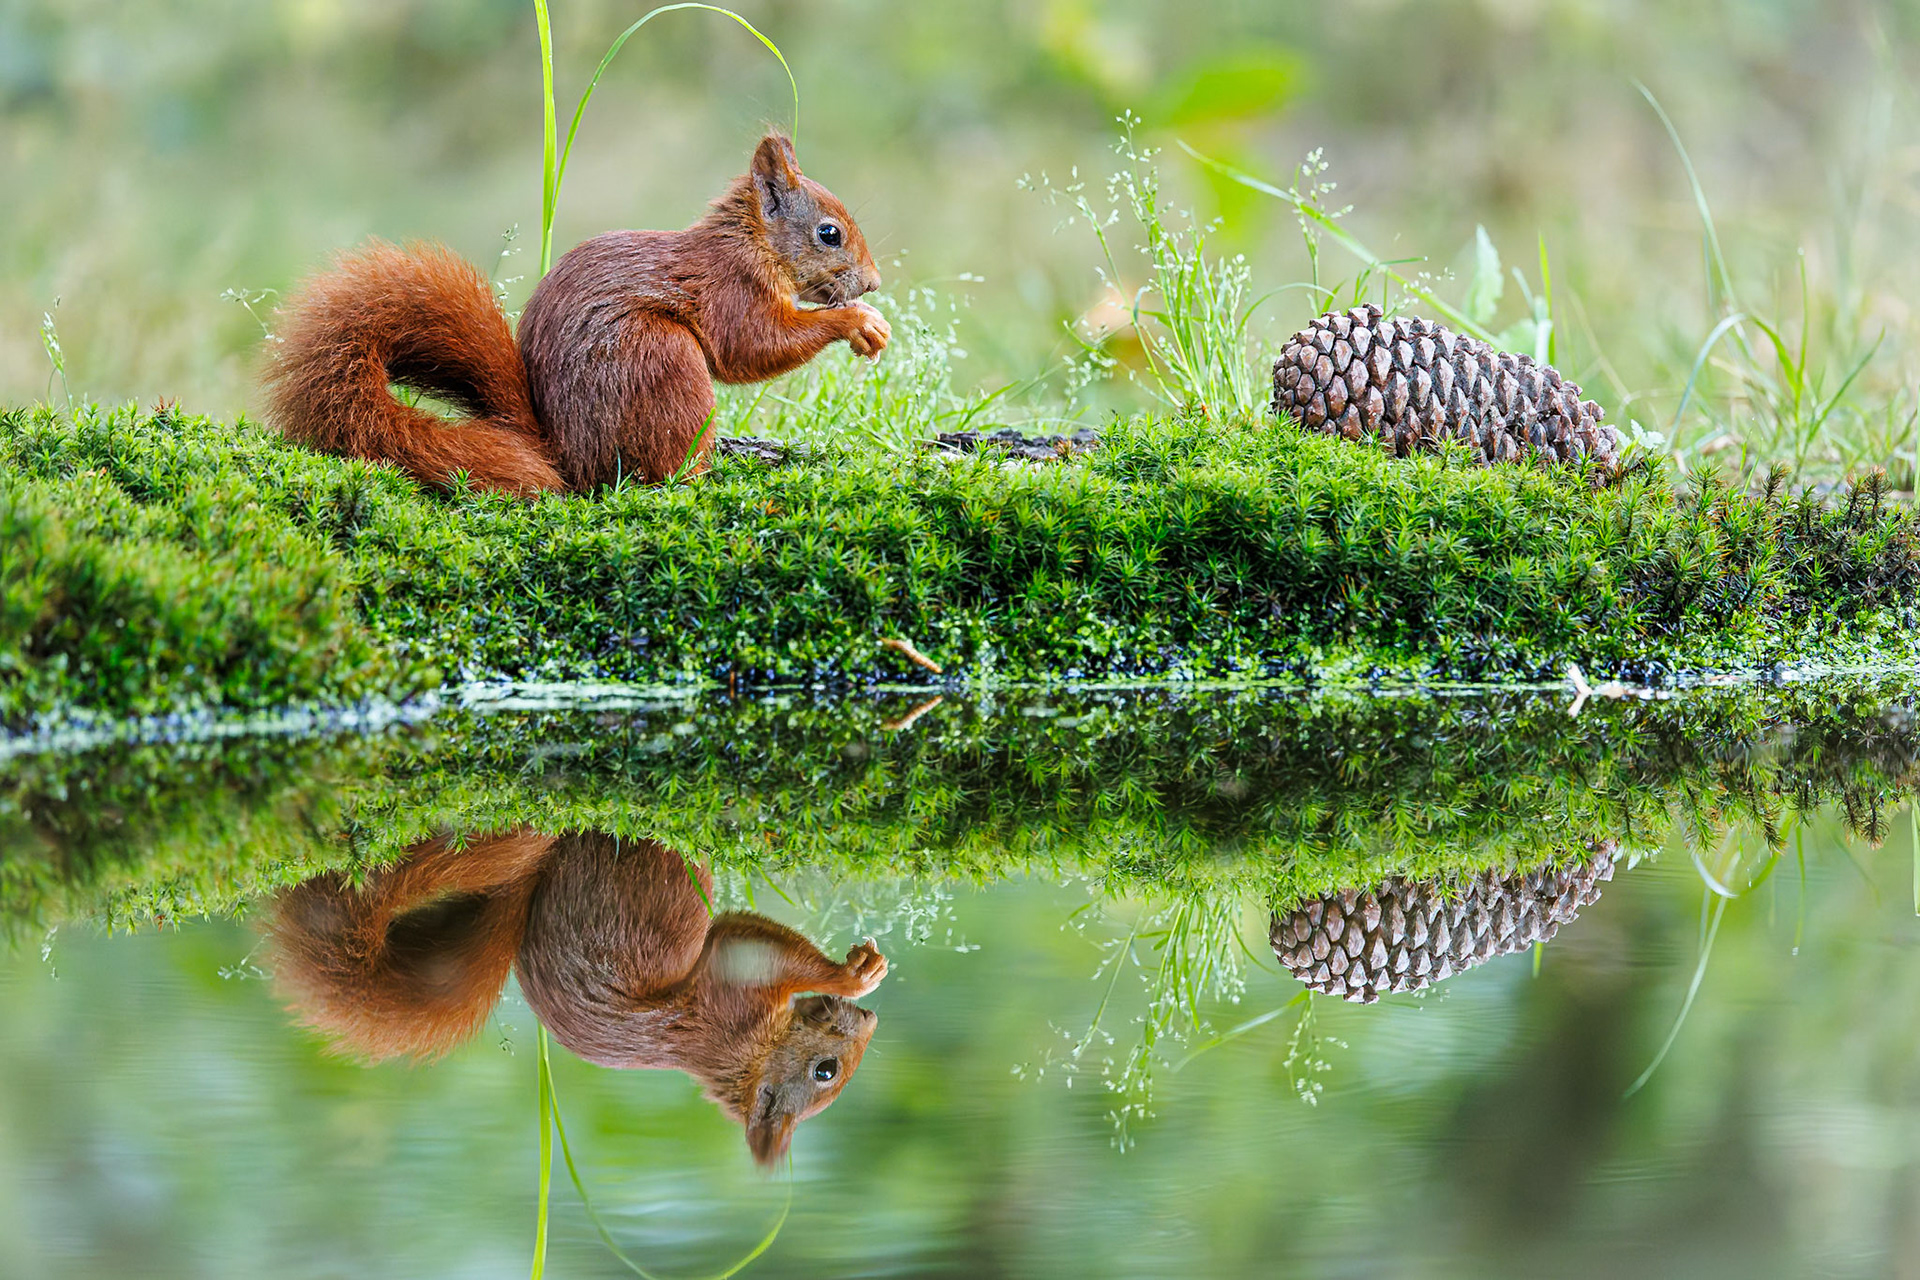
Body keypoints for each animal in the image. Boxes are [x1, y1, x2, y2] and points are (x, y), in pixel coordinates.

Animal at [262, 132, 890, 496]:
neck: (751, 243)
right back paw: (704, 476)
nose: (875, 283)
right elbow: (751, 348)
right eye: (829, 234)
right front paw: (859, 322)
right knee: (654, 474)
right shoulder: (730, 291)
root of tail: (562, 453)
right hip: (662, 359)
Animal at [268, 828, 889, 1166]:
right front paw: (854, 976)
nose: (869, 1021)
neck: (743, 1058)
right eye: (826, 1072)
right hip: (654, 883)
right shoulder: (734, 996)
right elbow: (762, 944)